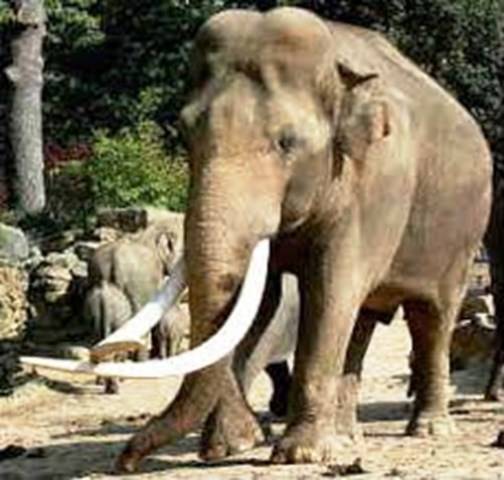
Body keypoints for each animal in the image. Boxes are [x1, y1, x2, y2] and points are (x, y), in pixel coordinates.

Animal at [22, 7, 492, 472]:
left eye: (287, 142)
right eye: (185, 134)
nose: (126, 461)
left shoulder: (373, 190)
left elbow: (330, 290)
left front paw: (298, 454)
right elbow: (261, 300)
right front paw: (229, 446)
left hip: (463, 237)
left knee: (431, 318)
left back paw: (428, 429)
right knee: (361, 322)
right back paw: (345, 436)